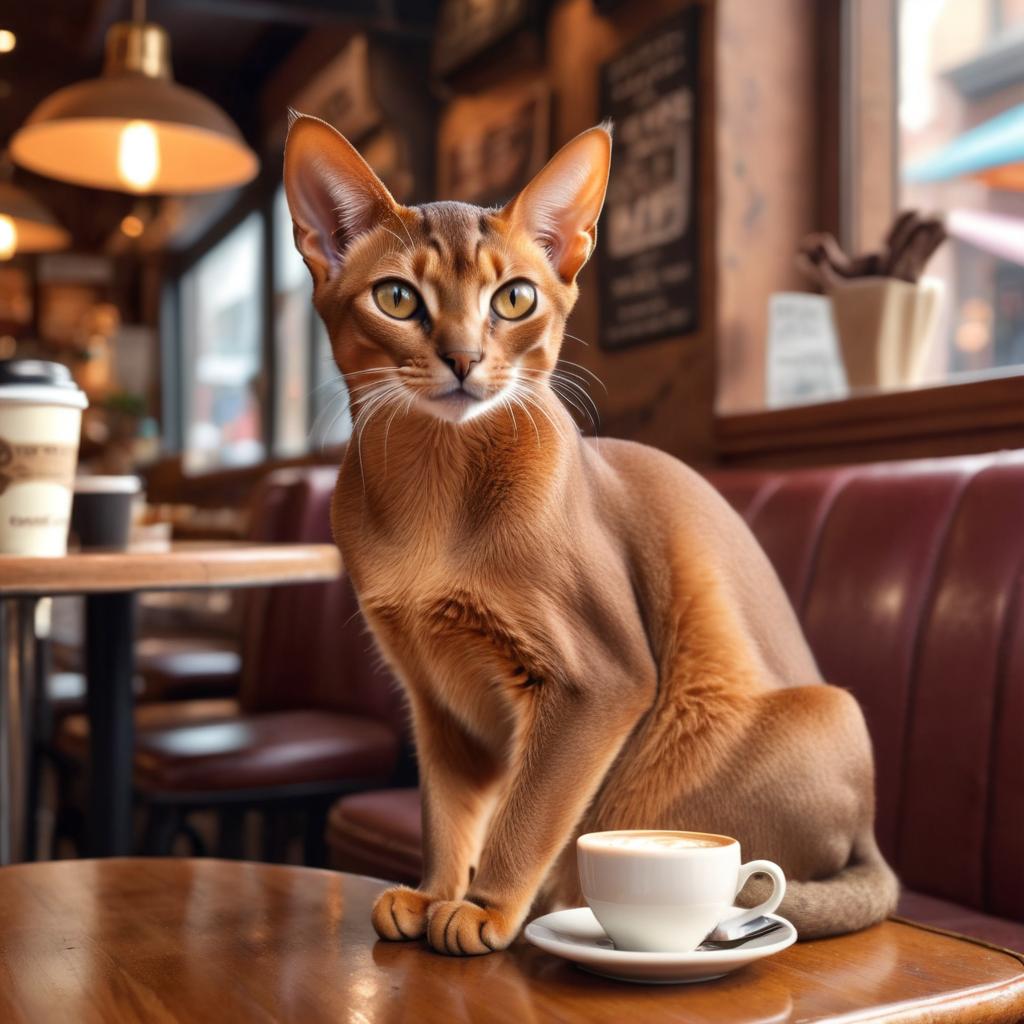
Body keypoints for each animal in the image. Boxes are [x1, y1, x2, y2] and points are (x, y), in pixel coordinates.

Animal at [282, 116, 897, 954]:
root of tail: (870, 840)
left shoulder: (598, 680)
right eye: (397, 297)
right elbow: (448, 811)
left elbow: (528, 812)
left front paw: (483, 908)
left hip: (813, 712)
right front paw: (433, 892)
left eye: (514, 298)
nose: (464, 358)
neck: (431, 496)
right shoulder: (436, 699)